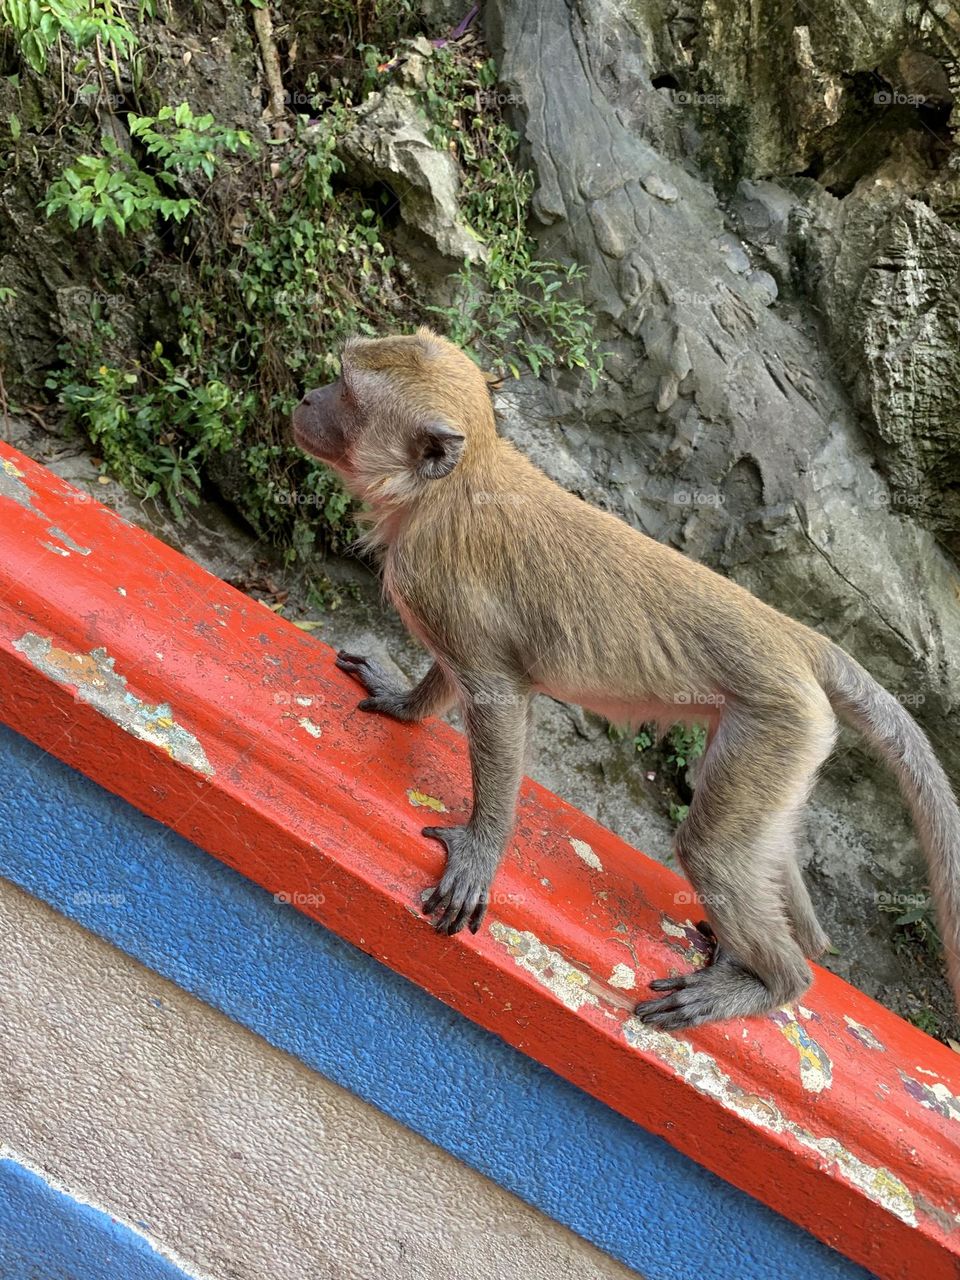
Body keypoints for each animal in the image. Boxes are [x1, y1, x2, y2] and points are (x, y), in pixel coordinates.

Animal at [291, 326, 960, 1031]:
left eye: (346, 390)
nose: (307, 397)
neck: (445, 489)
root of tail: (793, 635)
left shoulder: (430, 578)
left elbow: (496, 695)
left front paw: (481, 849)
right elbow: (455, 676)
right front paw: (404, 703)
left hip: (776, 721)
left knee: (712, 852)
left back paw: (775, 980)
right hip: (784, 739)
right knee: (758, 843)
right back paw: (794, 942)